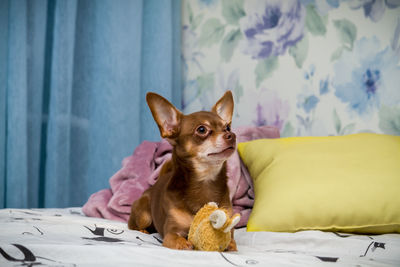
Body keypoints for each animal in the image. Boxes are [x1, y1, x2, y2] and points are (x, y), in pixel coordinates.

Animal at [127, 90, 238, 251]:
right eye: (202, 129)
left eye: (227, 128)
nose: (232, 135)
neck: (205, 182)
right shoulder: (171, 233)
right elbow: (177, 240)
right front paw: (185, 243)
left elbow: (232, 242)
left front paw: (228, 244)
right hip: (143, 215)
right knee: (132, 225)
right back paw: (142, 230)